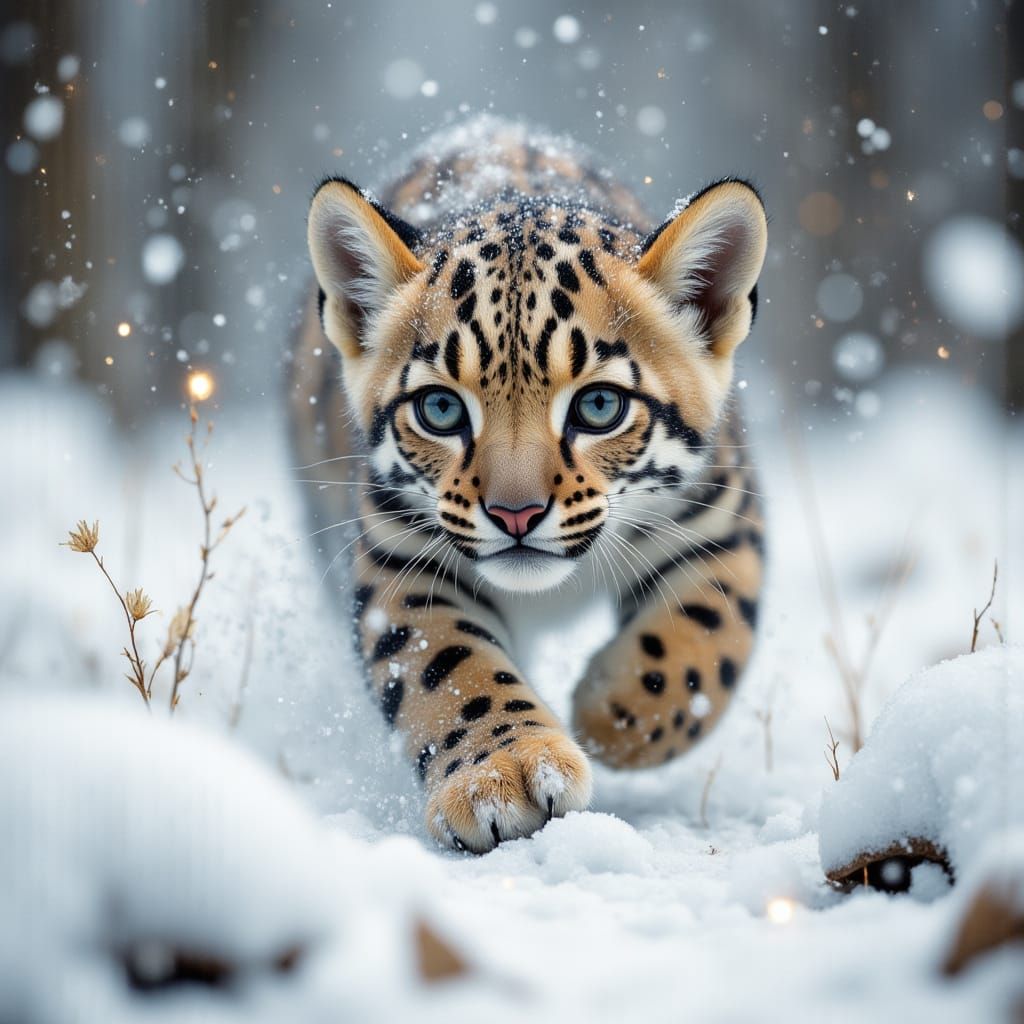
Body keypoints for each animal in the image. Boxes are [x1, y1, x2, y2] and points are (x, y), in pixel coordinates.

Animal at [289, 117, 767, 853]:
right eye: (441, 409)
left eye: (599, 406)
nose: (516, 513)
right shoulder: (401, 557)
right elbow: (447, 667)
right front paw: (501, 774)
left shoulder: (718, 523)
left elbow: (705, 641)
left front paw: (608, 712)